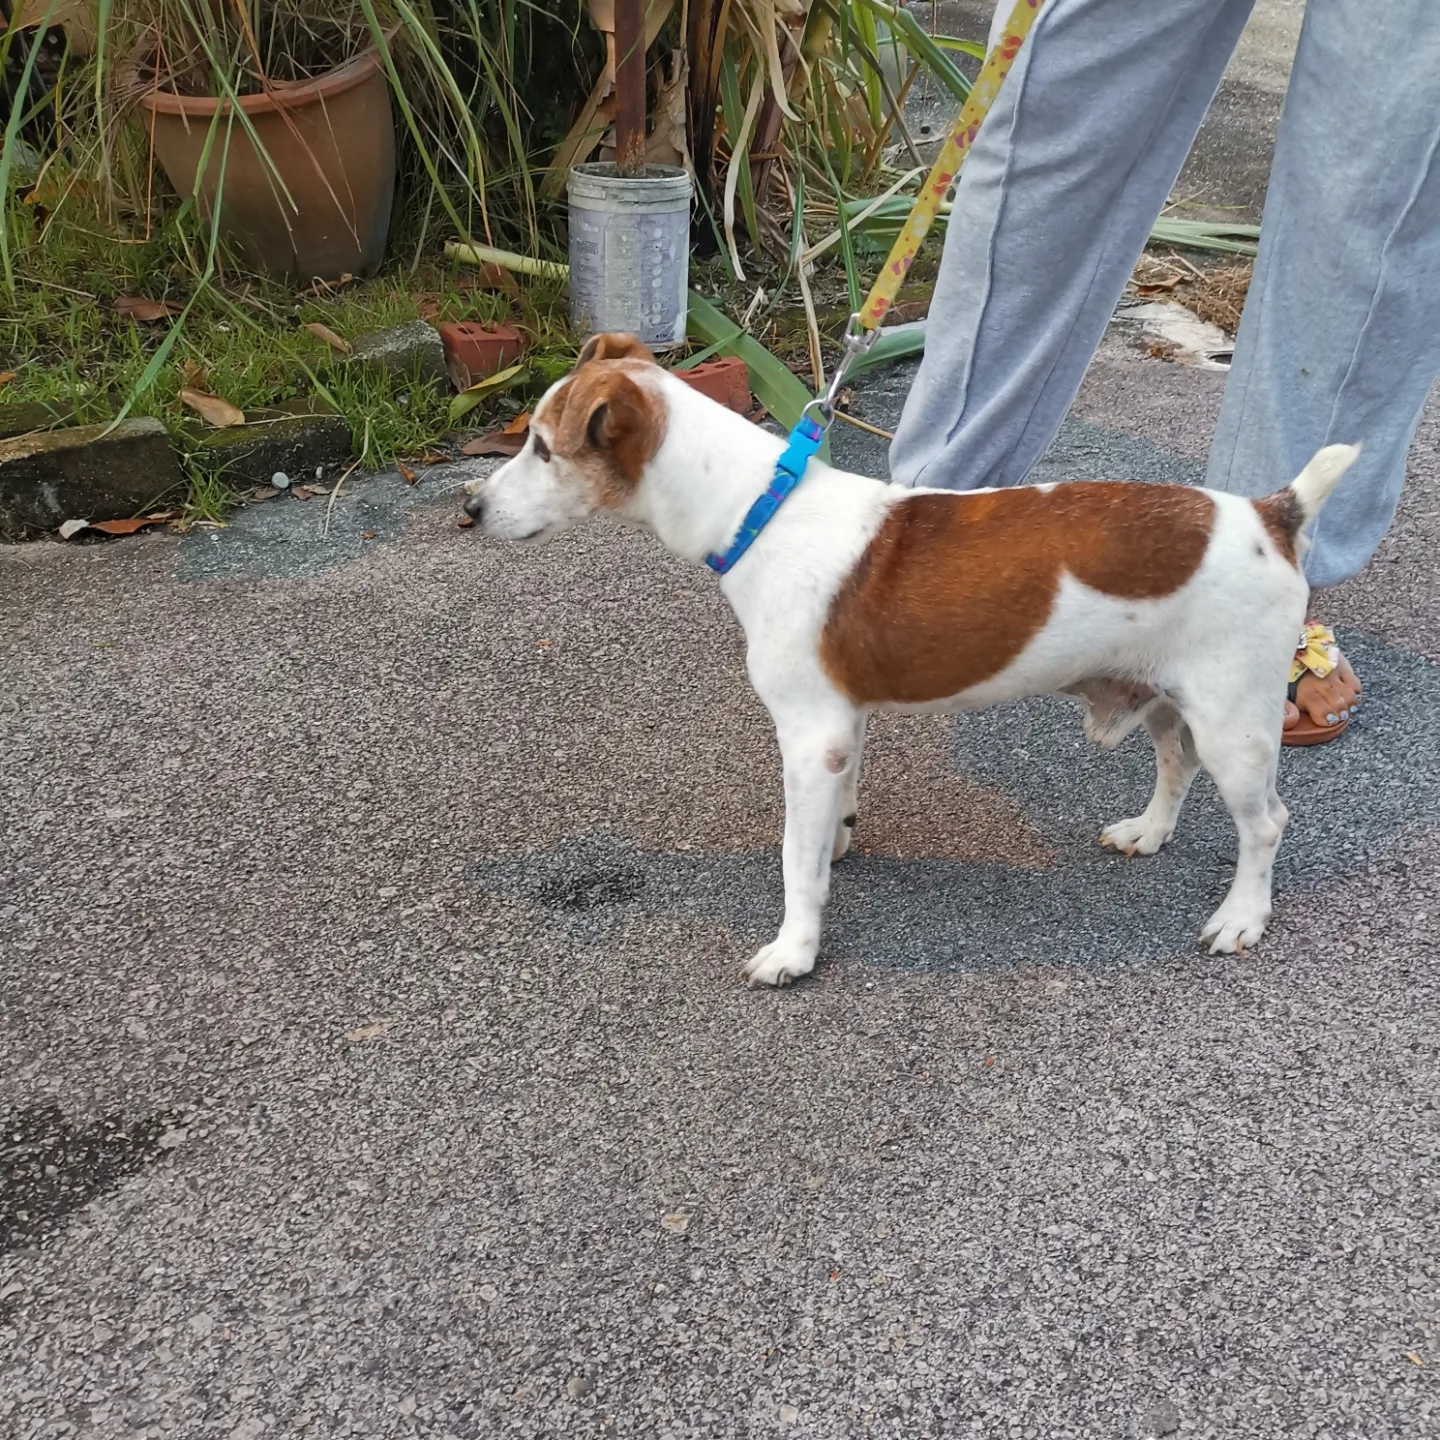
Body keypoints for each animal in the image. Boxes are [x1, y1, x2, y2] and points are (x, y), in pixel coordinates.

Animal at [463, 334, 1359, 990]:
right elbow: (835, 815)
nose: (468, 507)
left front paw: (795, 948)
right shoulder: (842, 726)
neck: (761, 508)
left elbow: (794, 863)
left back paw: (1242, 916)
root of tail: (1272, 513)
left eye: (542, 449)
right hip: (1172, 696)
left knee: (1265, 823)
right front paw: (837, 841)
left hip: (1236, 724)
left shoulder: (809, 737)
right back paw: (1150, 830)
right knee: (1176, 763)